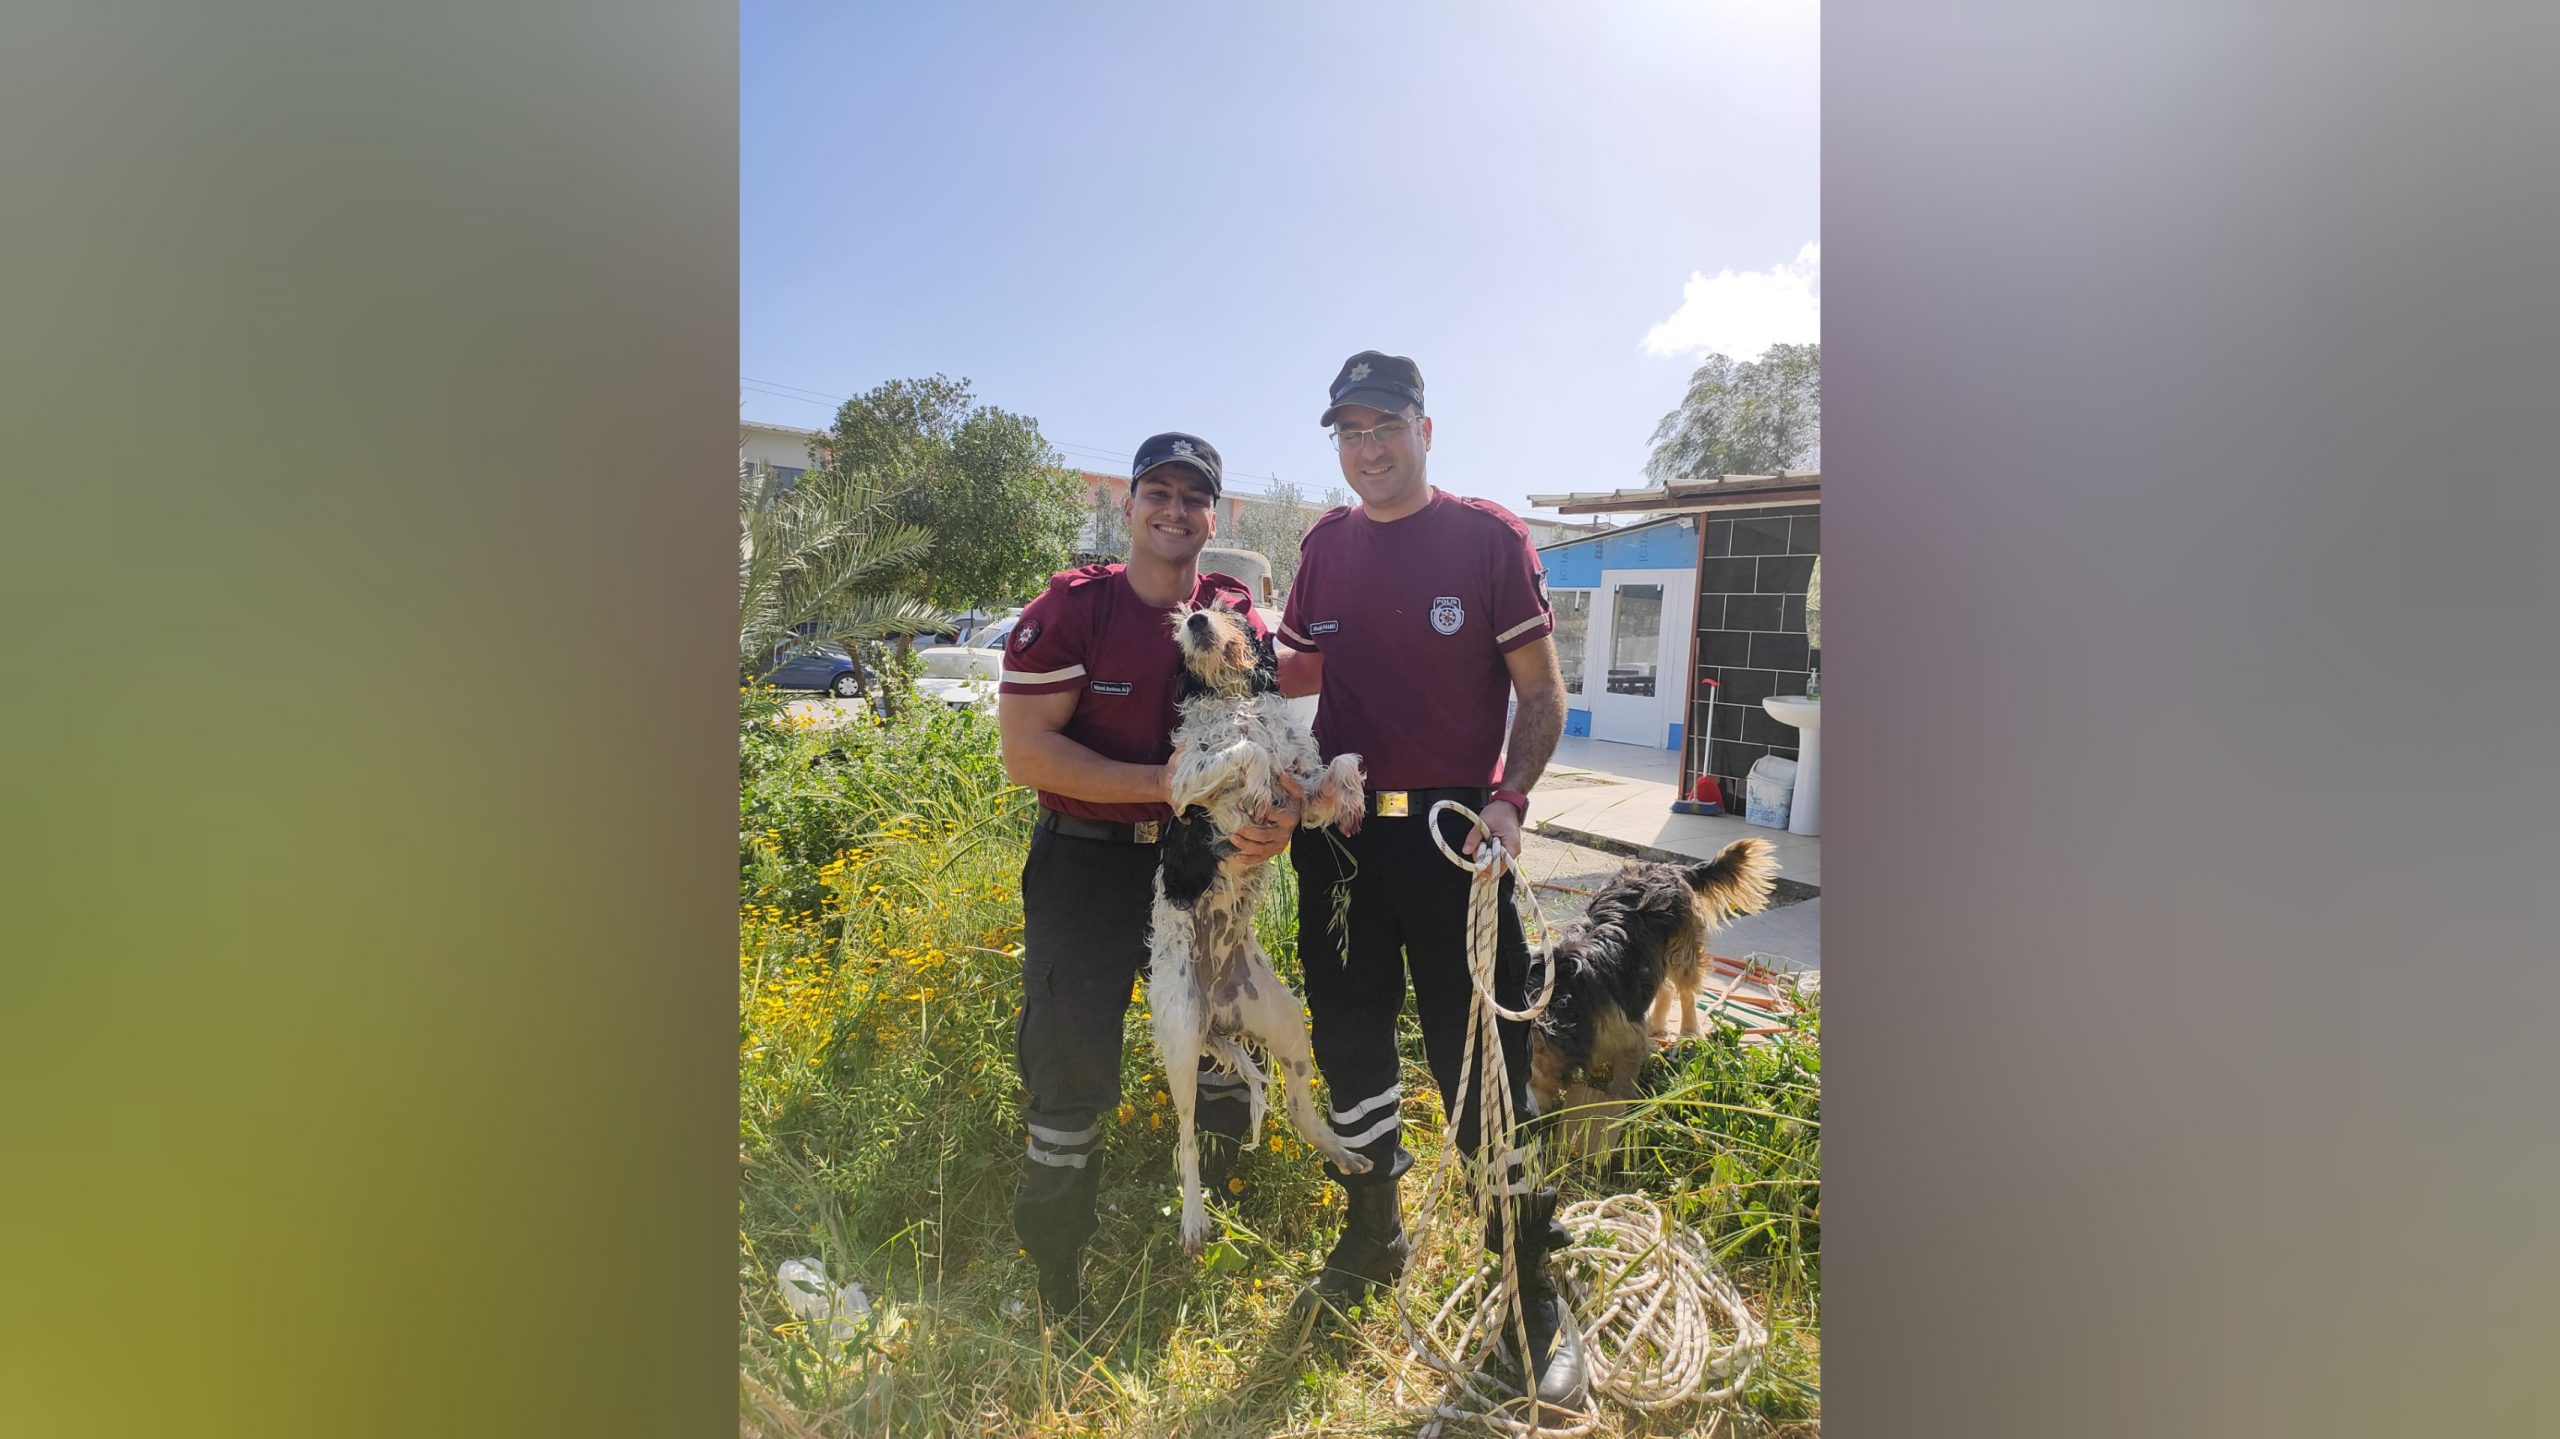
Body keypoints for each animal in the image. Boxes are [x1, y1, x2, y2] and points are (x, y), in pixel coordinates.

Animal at [1148, 600, 1372, 1255]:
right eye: (1189, 615)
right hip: (1180, 1037)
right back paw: (1194, 1220)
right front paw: (1249, 784)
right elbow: (1245, 752)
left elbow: (1336, 766)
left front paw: (1351, 796)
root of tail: (1219, 1017)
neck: (1233, 696)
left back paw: (1344, 1154)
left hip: (1289, 1024)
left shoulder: (1303, 791)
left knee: (1299, 1109)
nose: (1195, 619)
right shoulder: (1183, 779)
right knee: (1187, 1139)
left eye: (1227, 611)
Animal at [1526, 839, 1781, 1158]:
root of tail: (1668, 867)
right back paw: (1659, 1026)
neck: (1561, 1002)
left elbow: (1622, 1081)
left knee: (1685, 990)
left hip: (1682, 949)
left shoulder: (1626, 1033)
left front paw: (1616, 1113)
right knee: (1665, 989)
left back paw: (1688, 1031)